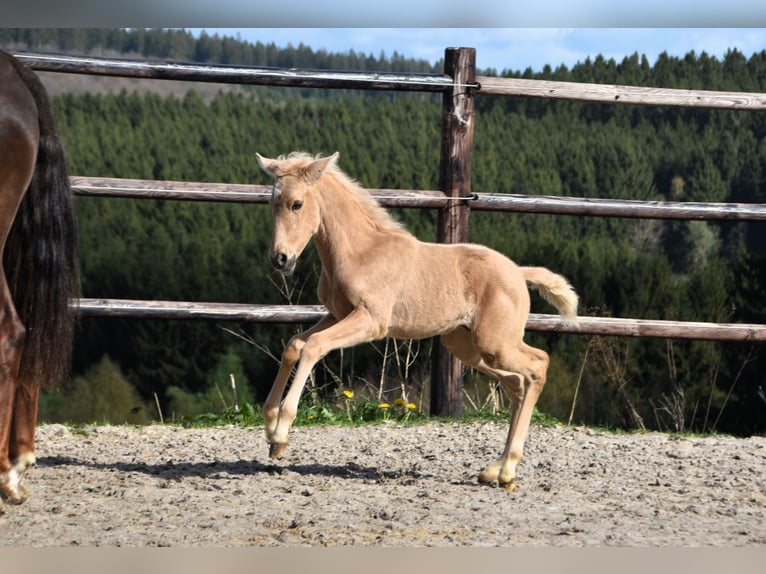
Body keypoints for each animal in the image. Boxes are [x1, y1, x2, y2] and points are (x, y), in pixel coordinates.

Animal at [255, 152, 580, 490]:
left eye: (297, 204)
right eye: (272, 203)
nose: (280, 259)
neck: (360, 252)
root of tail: (518, 272)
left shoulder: (371, 320)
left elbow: (314, 347)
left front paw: (281, 435)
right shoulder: (337, 315)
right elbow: (294, 345)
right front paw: (270, 427)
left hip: (495, 343)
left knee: (538, 365)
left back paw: (507, 469)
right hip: (466, 346)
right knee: (517, 383)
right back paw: (496, 470)